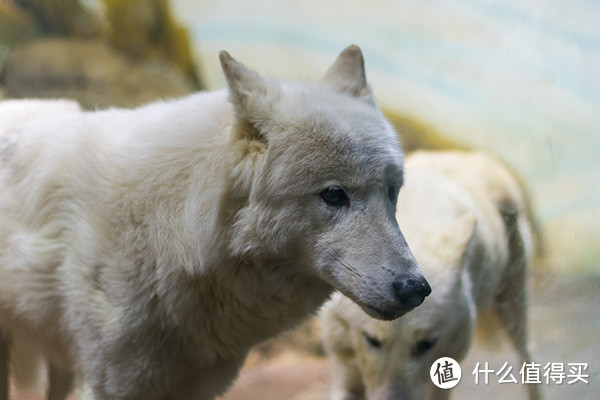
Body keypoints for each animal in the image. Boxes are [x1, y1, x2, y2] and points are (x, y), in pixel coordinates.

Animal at [322, 151, 540, 400]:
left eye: (426, 344)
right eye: (372, 340)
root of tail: (475, 156)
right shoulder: (344, 371)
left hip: (512, 309)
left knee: (528, 357)